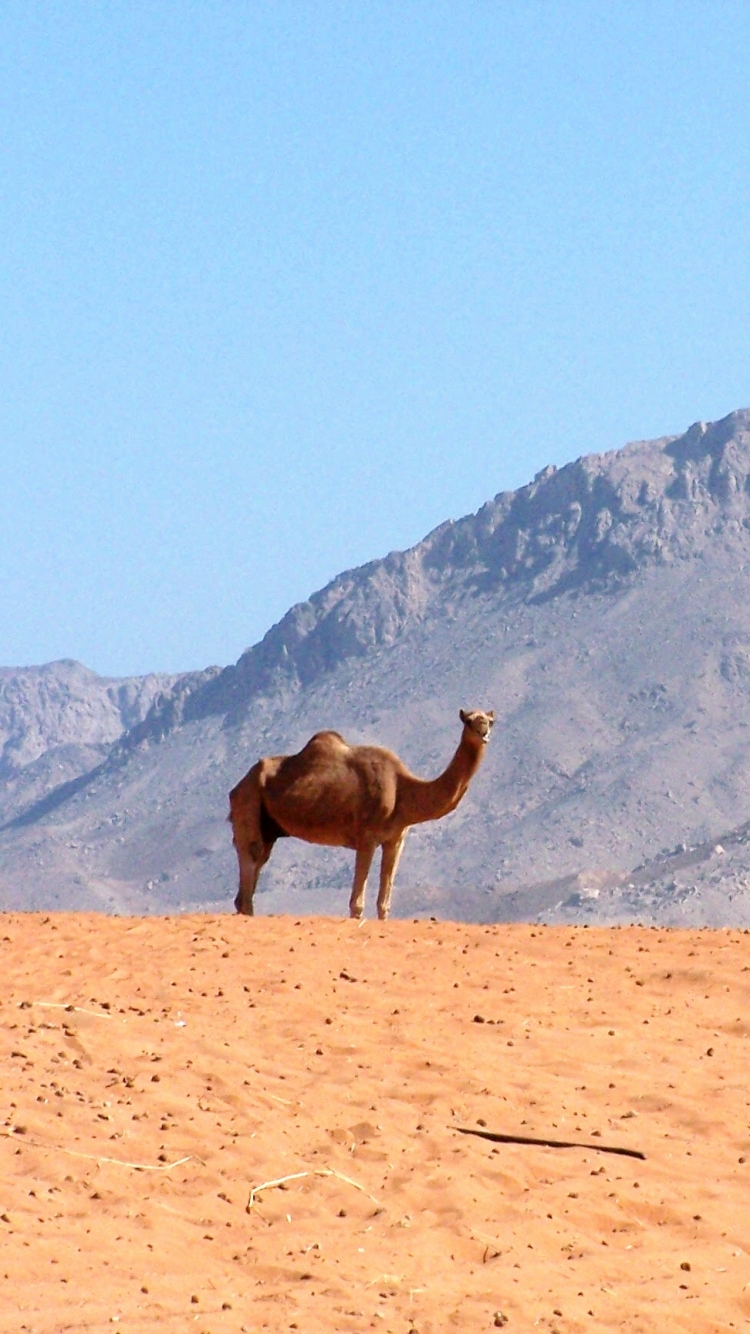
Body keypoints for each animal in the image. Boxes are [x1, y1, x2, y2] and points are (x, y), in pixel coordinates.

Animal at [228, 708, 494, 920]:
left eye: (490, 721)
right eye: (468, 721)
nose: (483, 733)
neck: (403, 788)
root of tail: (237, 786)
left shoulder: (396, 838)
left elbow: (384, 903)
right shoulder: (366, 837)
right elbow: (356, 903)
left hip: (269, 828)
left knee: (256, 867)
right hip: (248, 803)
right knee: (250, 858)